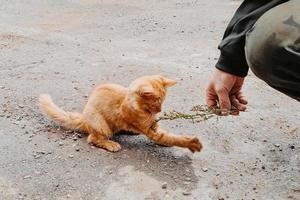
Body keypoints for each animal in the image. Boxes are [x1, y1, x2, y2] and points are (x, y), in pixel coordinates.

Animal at [38, 76, 203, 152]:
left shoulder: (154, 125)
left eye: (162, 101)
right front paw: (192, 143)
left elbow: (167, 135)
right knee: (93, 138)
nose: (160, 111)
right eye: (156, 102)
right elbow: (171, 138)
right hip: (101, 125)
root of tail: (84, 118)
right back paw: (111, 144)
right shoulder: (149, 130)